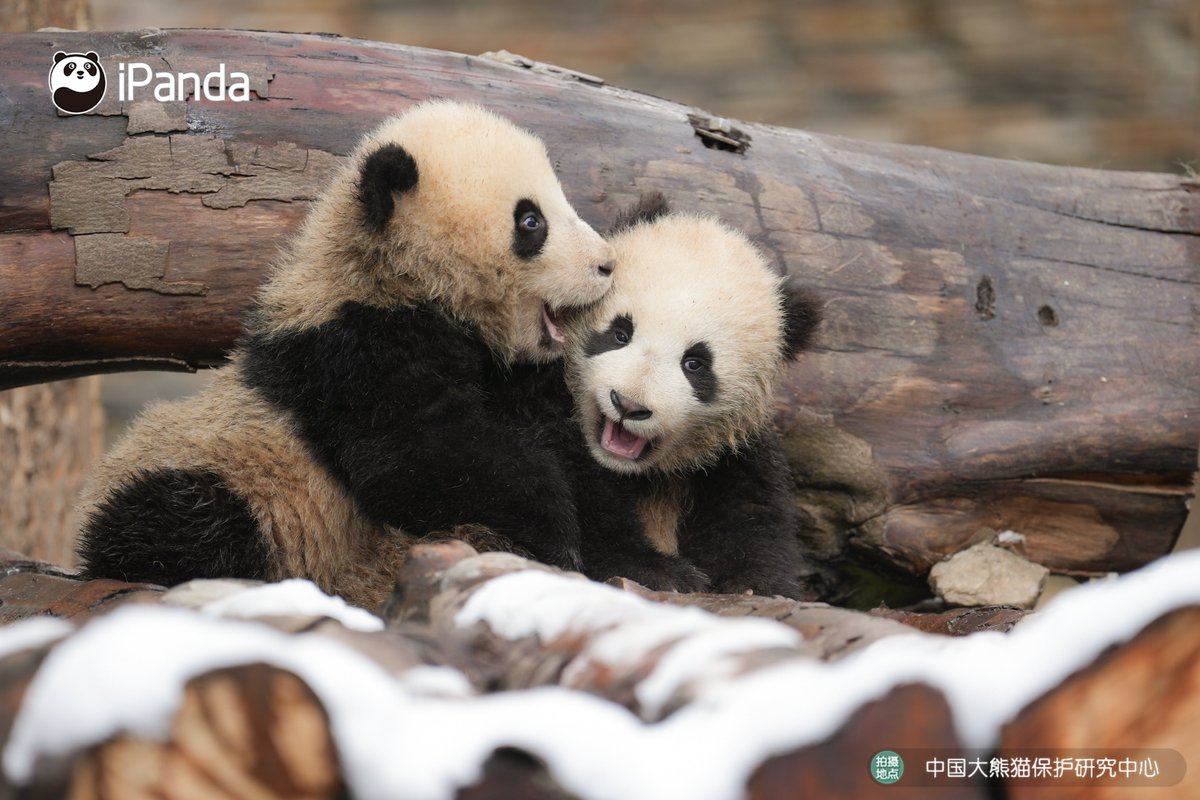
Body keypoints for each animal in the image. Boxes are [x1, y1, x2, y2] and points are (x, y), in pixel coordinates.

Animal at [77, 100, 614, 610]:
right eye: (531, 221)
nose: (607, 264)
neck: (394, 275)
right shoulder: (351, 353)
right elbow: (413, 458)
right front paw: (557, 533)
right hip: (215, 474)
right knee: (181, 517)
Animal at [560, 194, 825, 597]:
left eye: (695, 364)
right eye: (620, 333)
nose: (629, 405)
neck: (638, 474)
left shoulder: (731, 459)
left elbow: (753, 523)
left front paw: (754, 583)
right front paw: (663, 572)